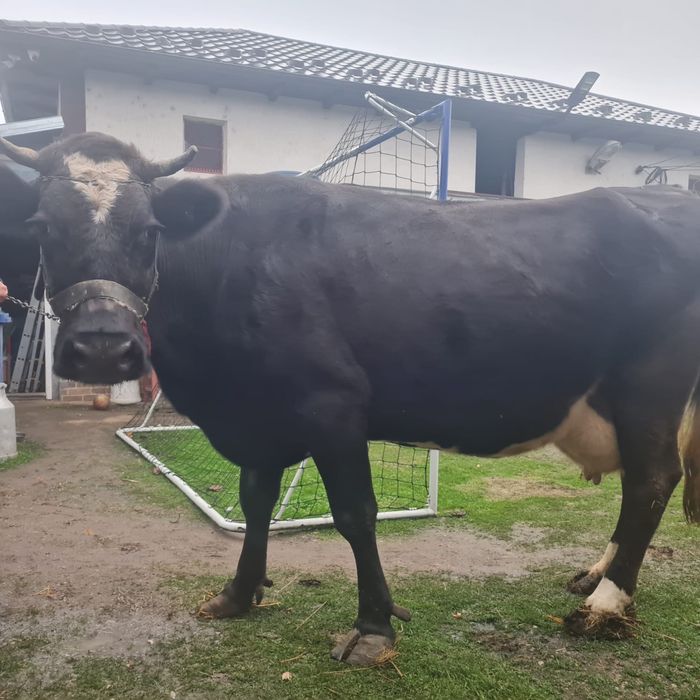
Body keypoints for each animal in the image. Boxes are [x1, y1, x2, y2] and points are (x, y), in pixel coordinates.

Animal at [0, 132, 698, 665]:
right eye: (41, 227)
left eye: (150, 231)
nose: (102, 347)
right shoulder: (262, 415)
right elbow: (255, 503)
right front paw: (239, 593)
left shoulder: (331, 405)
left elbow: (356, 516)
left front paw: (373, 627)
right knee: (641, 483)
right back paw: (596, 575)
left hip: (650, 388)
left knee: (653, 480)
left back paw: (606, 603)